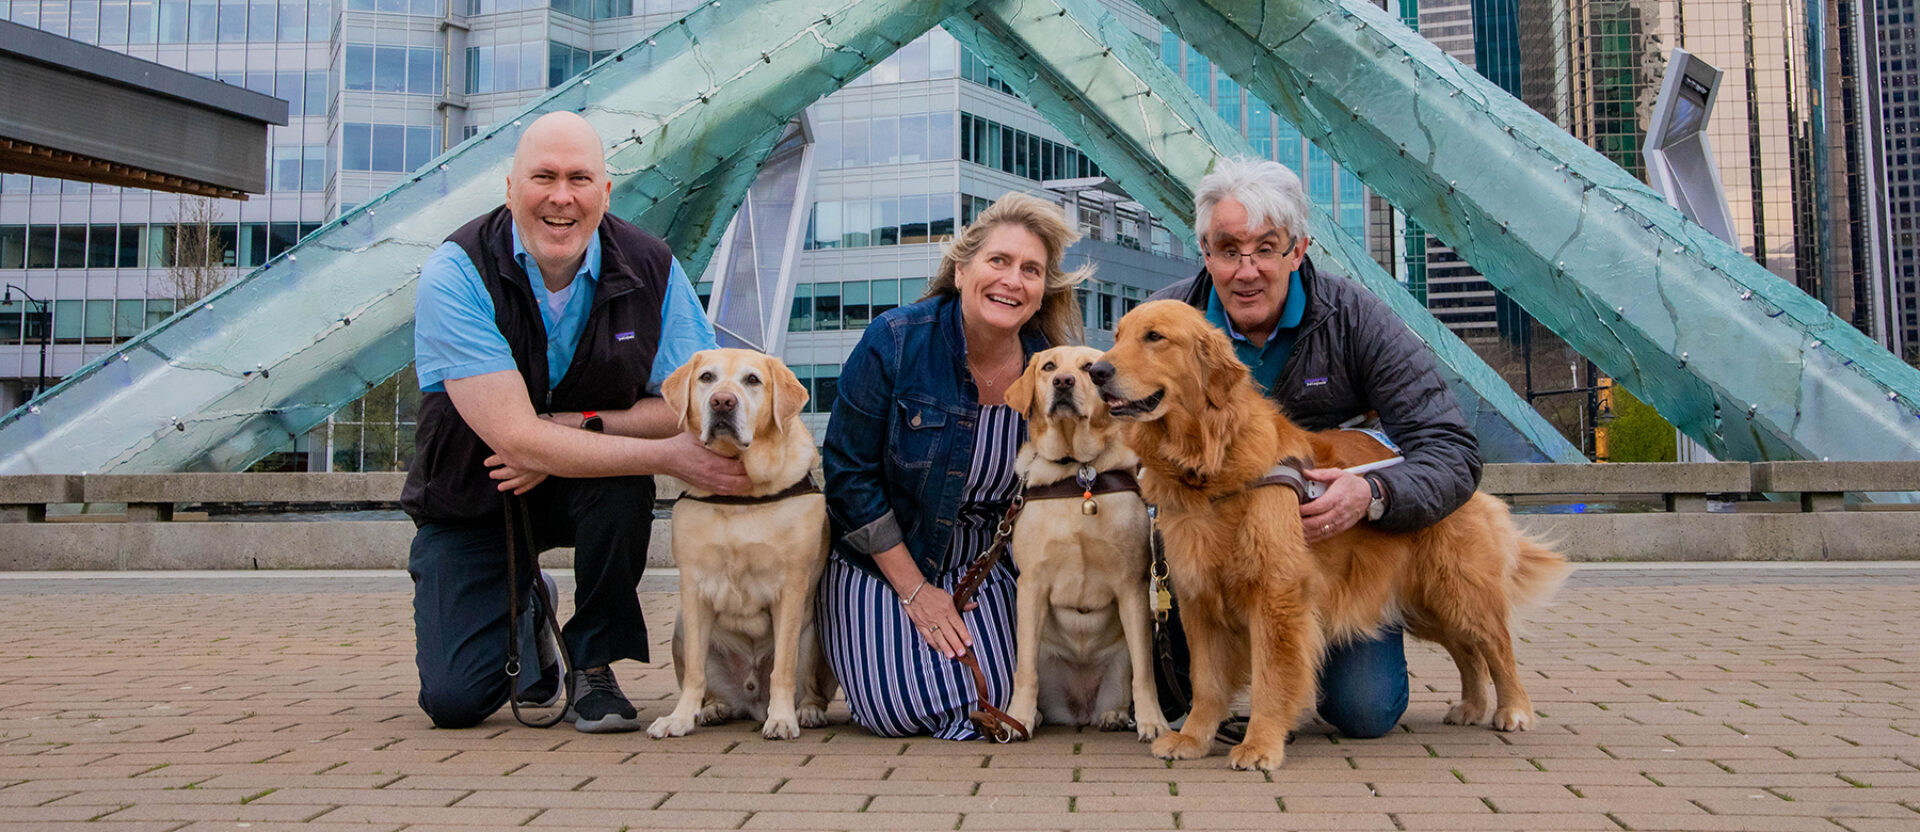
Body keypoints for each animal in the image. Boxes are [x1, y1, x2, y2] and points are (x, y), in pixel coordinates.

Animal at [648, 347, 837, 737]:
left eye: (753, 380)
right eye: (706, 377)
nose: (722, 401)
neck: (740, 494)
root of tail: (752, 698)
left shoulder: (791, 587)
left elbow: (783, 668)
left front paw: (782, 719)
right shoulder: (693, 588)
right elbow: (695, 672)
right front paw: (679, 718)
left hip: (815, 635)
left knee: (807, 684)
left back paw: (807, 711)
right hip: (680, 627)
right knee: (708, 683)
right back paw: (712, 709)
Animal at [1006, 343, 1167, 737]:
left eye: (1089, 369)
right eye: (1049, 367)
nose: (1063, 382)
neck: (1076, 470)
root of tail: (1079, 711)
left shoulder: (1132, 586)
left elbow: (1145, 673)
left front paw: (1153, 721)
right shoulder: (1031, 585)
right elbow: (1023, 669)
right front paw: (1017, 717)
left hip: (1119, 660)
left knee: (1123, 686)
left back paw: (1114, 716)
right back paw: (1036, 715)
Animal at [1090, 301, 1566, 768]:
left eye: (1155, 337)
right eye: (1117, 335)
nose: (1097, 371)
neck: (1210, 459)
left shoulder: (1276, 596)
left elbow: (1271, 677)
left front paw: (1261, 744)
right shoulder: (1198, 598)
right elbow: (1206, 681)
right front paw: (1193, 737)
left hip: (1459, 589)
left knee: (1496, 646)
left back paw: (1513, 710)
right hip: (1423, 604)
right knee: (1467, 652)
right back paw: (1470, 706)